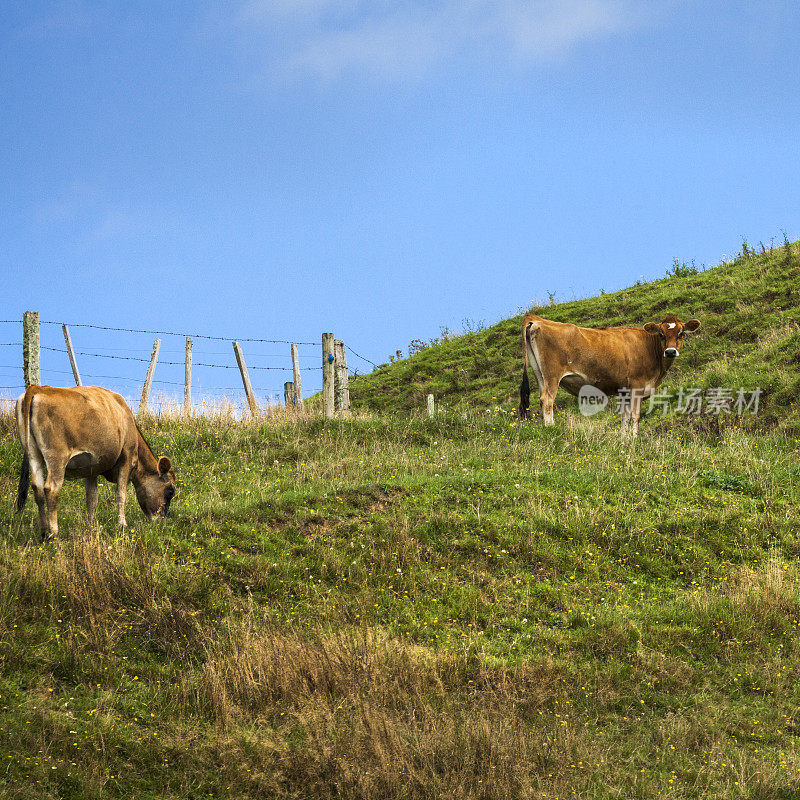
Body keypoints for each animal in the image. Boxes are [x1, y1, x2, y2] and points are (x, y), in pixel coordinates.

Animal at [14, 386, 177, 540]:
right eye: (170, 490)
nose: (161, 519)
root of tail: (37, 388)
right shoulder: (126, 458)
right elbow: (121, 494)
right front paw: (122, 525)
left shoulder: (90, 468)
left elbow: (92, 499)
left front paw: (89, 527)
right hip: (57, 456)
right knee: (51, 489)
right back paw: (54, 533)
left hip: (33, 454)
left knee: (38, 489)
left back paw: (43, 532)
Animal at [520, 314, 700, 438]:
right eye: (661, 334)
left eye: (681, 333)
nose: (670, 351)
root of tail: (538, 320)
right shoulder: (637, 386)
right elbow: (635, 415)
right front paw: (635, 439)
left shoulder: (625, 391)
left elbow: (625, 417)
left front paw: (624, 439)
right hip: (552, 375)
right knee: (548, 400)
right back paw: (551, 428)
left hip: (540, 374)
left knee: (542, 398)